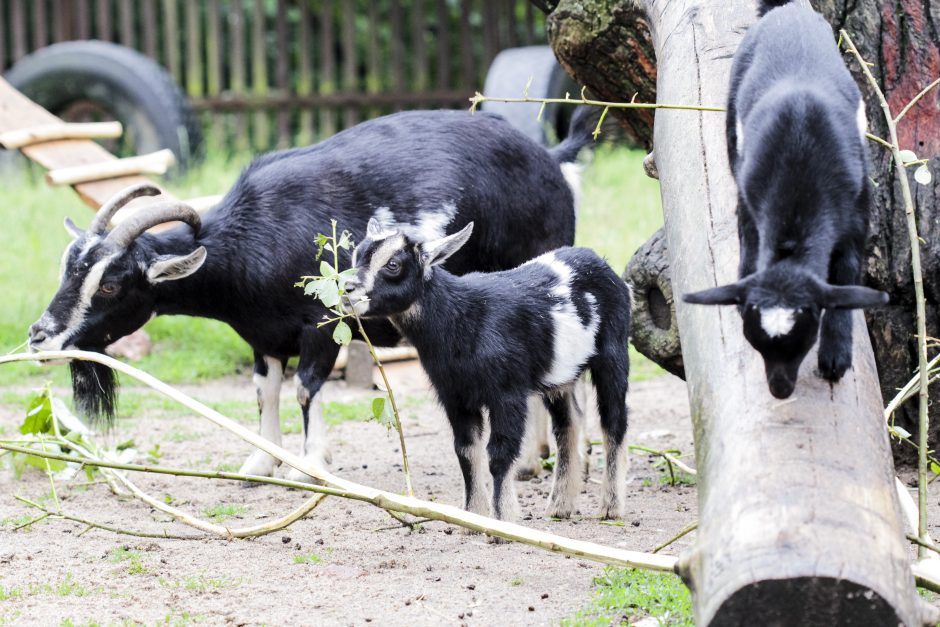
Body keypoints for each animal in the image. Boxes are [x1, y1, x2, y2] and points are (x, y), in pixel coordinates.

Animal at [35, 106, 604, 480]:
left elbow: (307, 388)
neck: (251, 238)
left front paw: (310, 464)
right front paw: (261, 460)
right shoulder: (262, 335)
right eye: (66, 269)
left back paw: (540, 462)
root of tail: (552, 159)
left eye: (110, 283)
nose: (41, 337)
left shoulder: (321, 324)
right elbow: (264, 391)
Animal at [346, 221, 632, 520]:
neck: (462, 318)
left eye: (393, 264)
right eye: (357, 256)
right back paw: (560, 505)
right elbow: (466, 451)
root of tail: (602, 264)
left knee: (614, 421)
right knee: (568, 423)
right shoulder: (455, 397)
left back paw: (611, 507)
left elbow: (500, 453)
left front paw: (504, 519)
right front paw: (473, 515)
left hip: (613, 353)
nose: (348, 289)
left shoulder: (507, 393)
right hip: (560, 373)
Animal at [684, 0, 888, 400]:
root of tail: (788, 9)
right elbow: (748, 243)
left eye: (804, 341)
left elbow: (847, 274)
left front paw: (836, 357)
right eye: (755, 341)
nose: (779, 389)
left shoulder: (856, 210)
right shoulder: (750, 197)